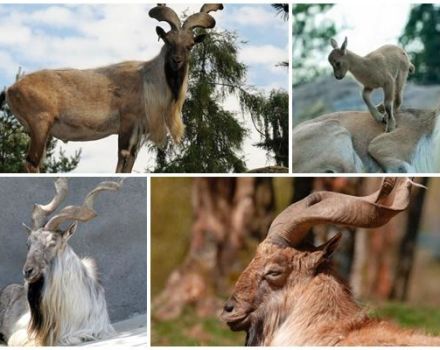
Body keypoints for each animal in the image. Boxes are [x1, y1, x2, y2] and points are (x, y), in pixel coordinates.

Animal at [1, 2, 223, 172]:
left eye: (190, 45)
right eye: (168, 41)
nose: (176, 61)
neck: (147, 82)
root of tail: (11, 89)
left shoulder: (138, 133)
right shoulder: (127, 123)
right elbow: (121, 160)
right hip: (40, 124)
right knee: (32, 162)